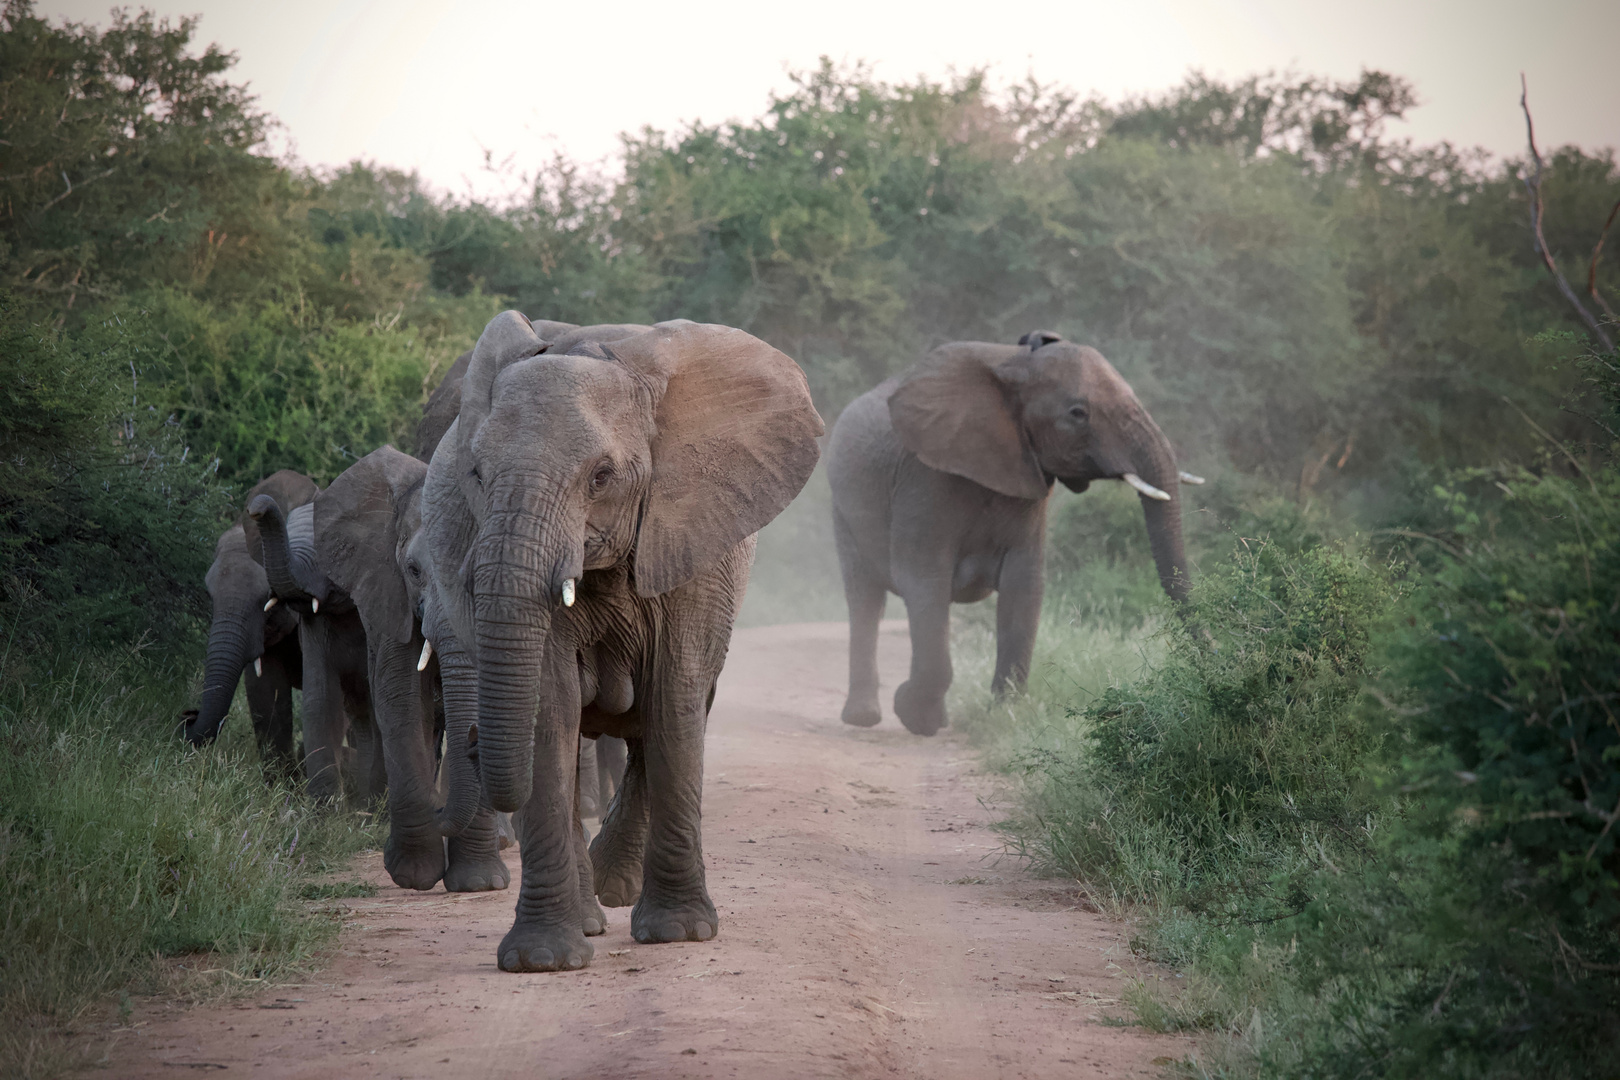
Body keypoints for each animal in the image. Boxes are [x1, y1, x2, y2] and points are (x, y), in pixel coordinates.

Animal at [421, 310, 822, 971]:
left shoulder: (689, 535)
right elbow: (549, 708)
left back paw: (617, 894)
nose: (473, 740)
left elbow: (674, 697)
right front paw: (542, 961)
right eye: (476, 474)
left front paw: (681, 934)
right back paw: (591, 916)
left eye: (601, 477)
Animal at [829, 330, 1198, 735]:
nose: (1212, 652)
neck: (1015, 366)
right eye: (1078, 413)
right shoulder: (923, 478)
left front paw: (1004, 717)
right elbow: (924, 581)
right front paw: (915, 716)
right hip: (842, 507)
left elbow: (1023, 588)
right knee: (865, 598)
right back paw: (863, 718)